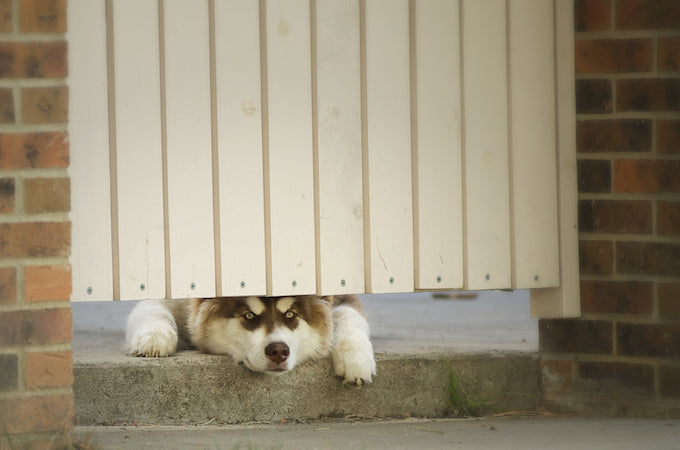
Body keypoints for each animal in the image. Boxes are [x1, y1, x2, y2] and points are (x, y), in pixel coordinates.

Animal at [123, 296, 378, 384]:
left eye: (290, 315)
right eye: (249, 315)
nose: (278, 351)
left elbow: (347, 314)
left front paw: (356, 359)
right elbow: (152, 308)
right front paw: (154, 338)